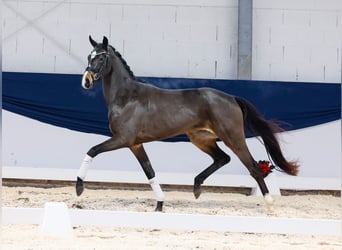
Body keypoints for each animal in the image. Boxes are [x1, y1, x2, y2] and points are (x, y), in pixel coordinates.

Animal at [75, 34, 300, 211]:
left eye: (101, 57)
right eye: (89, 56)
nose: (86, 81)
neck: (127, 97)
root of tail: (232, 98)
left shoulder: (123, 139)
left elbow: (92, 150)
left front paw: (79, 187)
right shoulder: (135, 144)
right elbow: (150, 172)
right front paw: (160, 205)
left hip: (233, 138)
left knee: (253, 167)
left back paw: (269, 205)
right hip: (201, 139)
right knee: (222, 158)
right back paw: (197, 187)